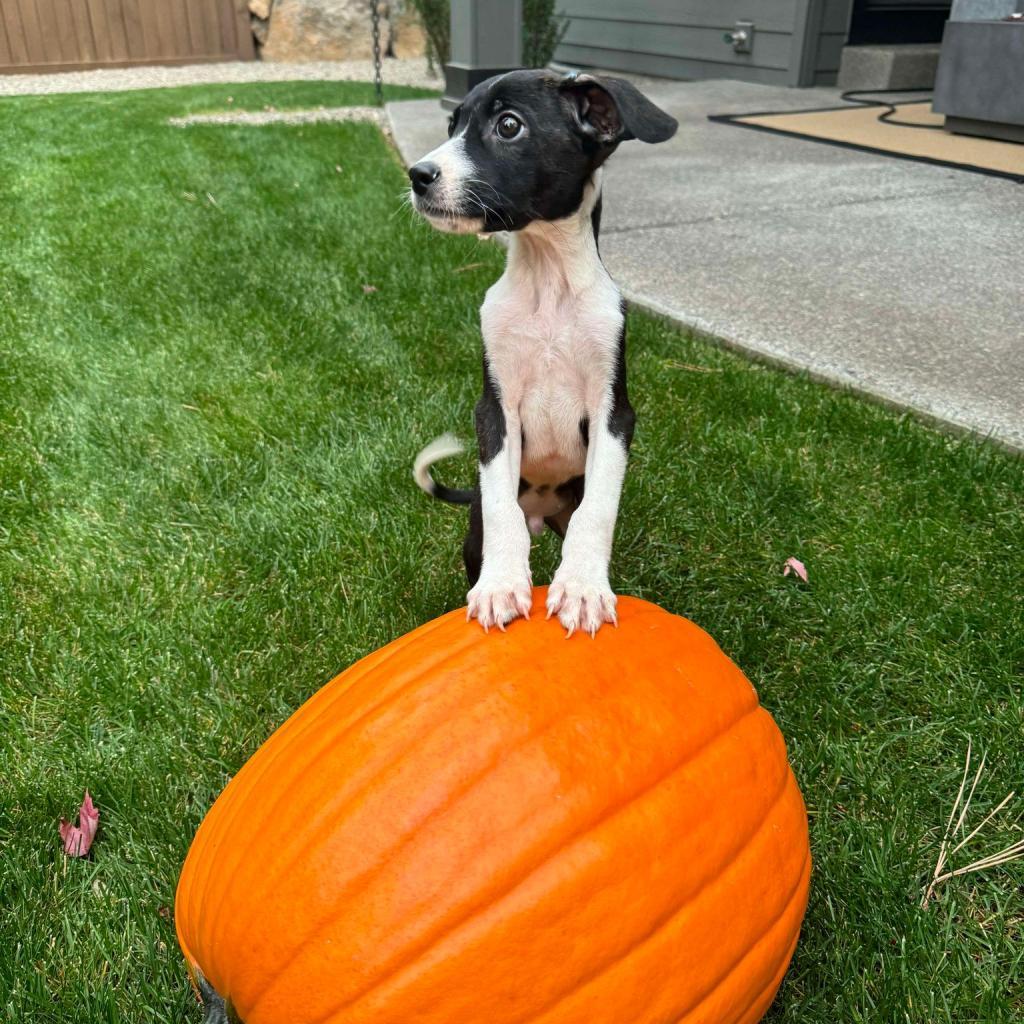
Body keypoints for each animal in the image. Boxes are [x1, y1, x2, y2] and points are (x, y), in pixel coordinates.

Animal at [407, 70, 679, 630]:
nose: (417, 175)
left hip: (567, 504)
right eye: (453, 124)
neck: (547, 283)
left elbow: (599, 509)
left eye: (509, 126)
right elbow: (501, 510)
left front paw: (582, 587)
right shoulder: (495, 411)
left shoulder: (613, 414)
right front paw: (500, 586)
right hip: (476, 532)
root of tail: (543, 511)